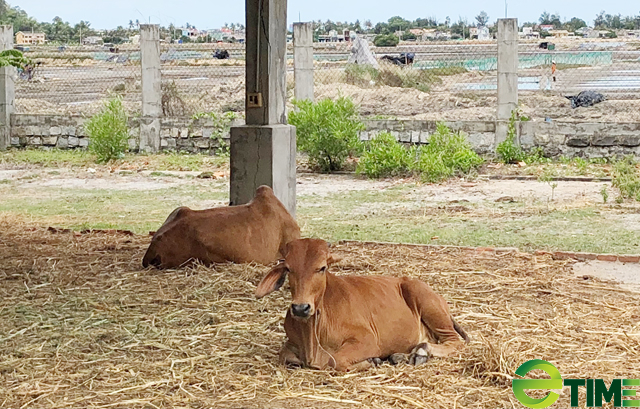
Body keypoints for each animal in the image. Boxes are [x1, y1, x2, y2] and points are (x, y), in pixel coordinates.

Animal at [256, 237, 470, 372]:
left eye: (322, 268)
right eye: (288, 268)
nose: (300, 308)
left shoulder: (367, 339)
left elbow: (336, 361)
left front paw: (372, 361)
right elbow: (286, 357)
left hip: (427, 303)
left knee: (454, 341)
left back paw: (421, 351)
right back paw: (400, 356)